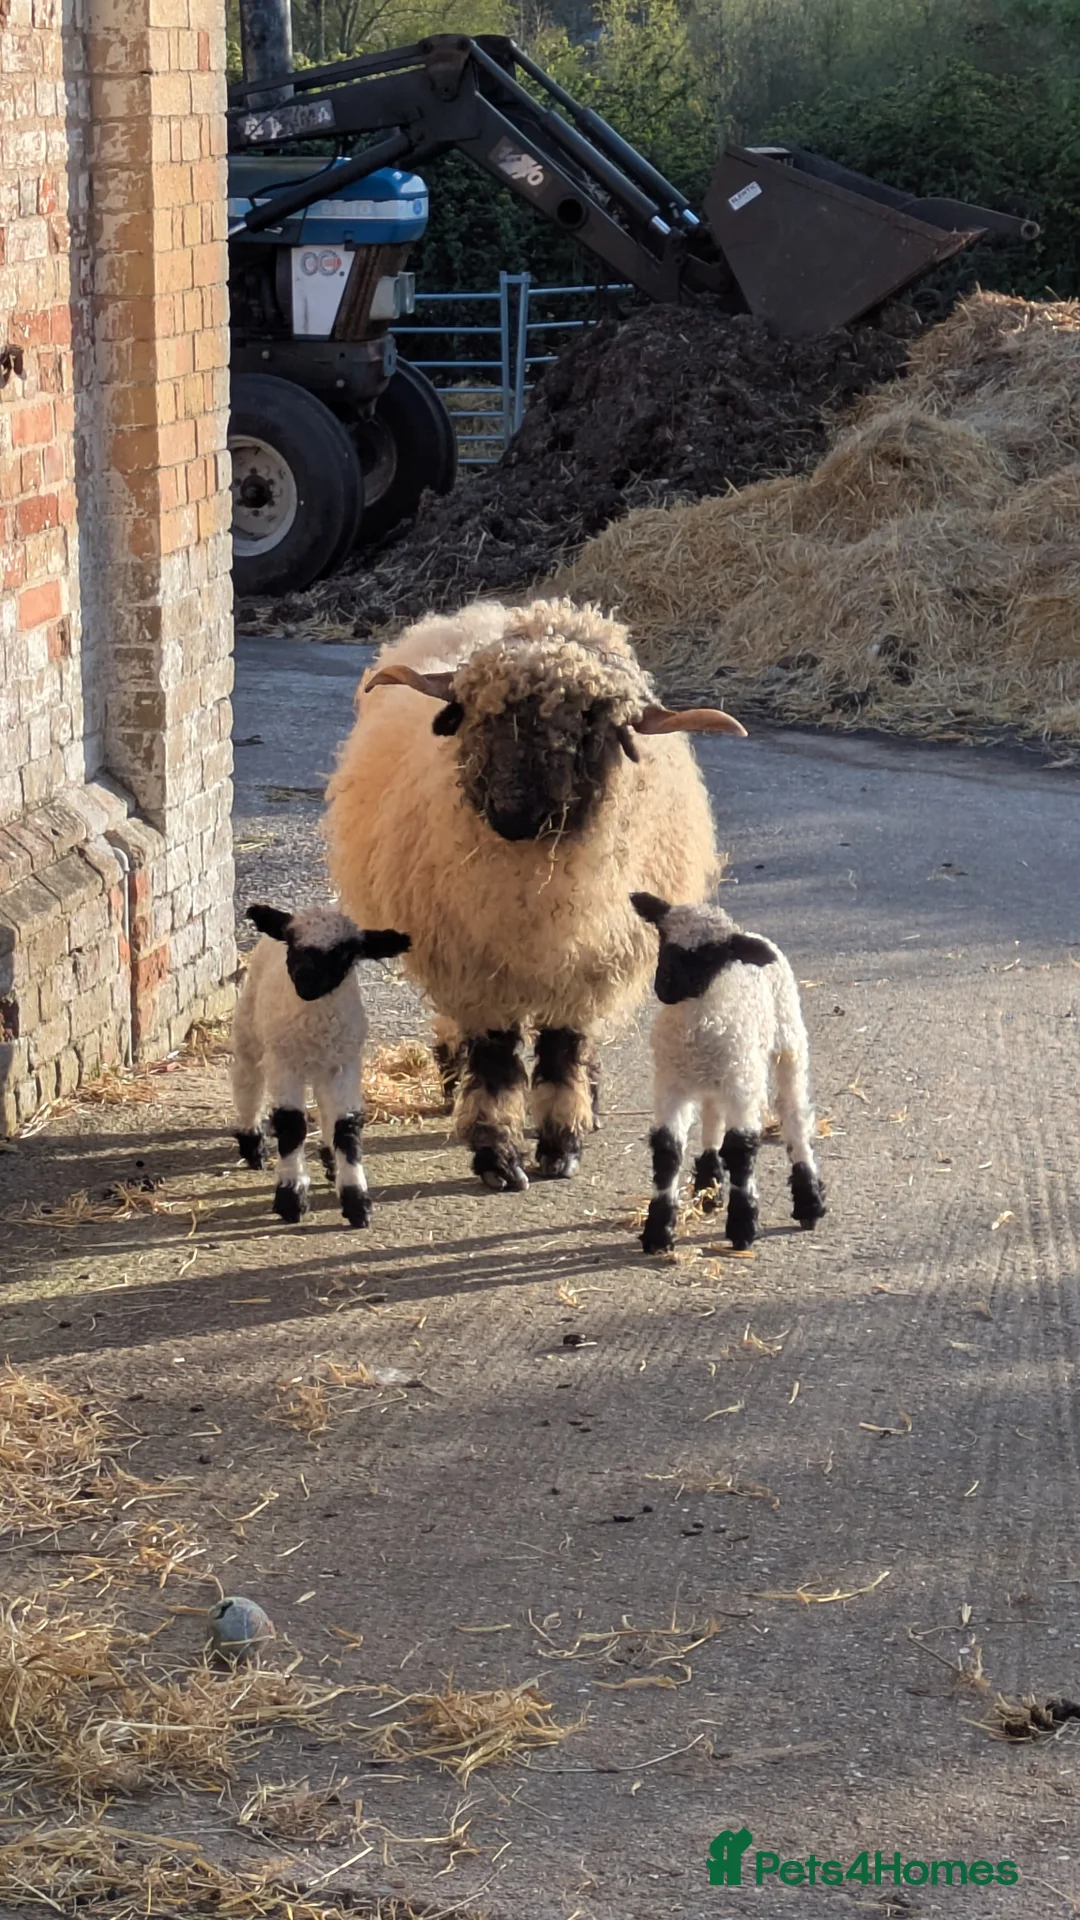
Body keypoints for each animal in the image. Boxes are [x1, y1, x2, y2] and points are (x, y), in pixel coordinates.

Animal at [231, 903, 410, 1226]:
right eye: (293, 945)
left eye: (345, 954)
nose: (305, 981)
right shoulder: (284, 1065)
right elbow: (292, 1125)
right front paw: (291, 1197)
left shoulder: (345, 1066)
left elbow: (347, 1127)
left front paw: (356, 1201)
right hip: (250, 1028)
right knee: (248, 1082)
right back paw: (252, 1144)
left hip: (326, 1066)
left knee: (326, 1109)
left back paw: (329, 1157)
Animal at [323, 597, 747, 1195]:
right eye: (476, 714)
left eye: (590, 727)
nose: (512, 815)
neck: (533, 882)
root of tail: (482, 611)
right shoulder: (475, 970)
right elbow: (497, 1066)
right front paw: (497, 1156)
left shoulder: (585, 973)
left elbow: (562, 1052)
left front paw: (561, 1143)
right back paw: (453, 1074)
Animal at [630, 891, 827, 1254]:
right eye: (663, 937)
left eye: (711, 955)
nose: (665, 985)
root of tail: (751, 935)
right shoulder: (670, 1084)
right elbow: (667, 1151)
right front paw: (658, 1232)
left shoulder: (742, 1085)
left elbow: (741, 1149)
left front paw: (742, 1226)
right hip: (716, 1075)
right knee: (712, 1115)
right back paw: (710, 1182)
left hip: (787, 1039)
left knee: (794, 1115)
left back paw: (809, 1202)